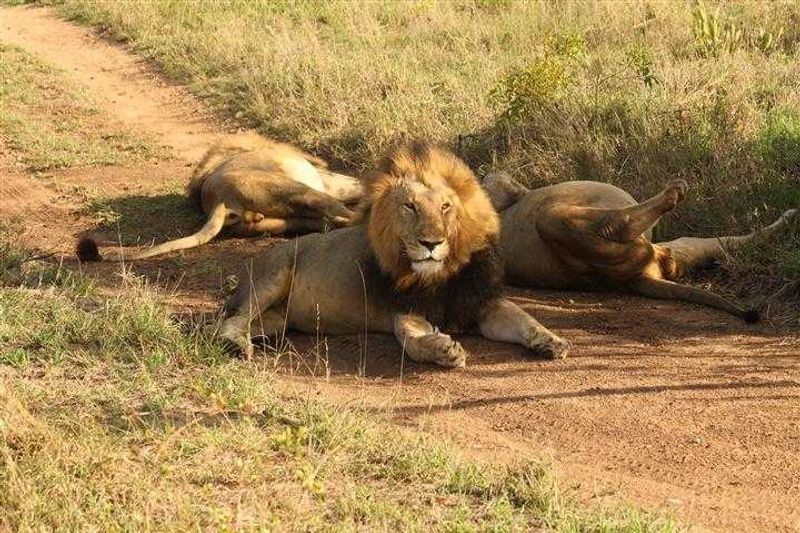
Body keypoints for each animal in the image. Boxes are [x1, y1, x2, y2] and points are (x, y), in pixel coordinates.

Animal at [77, 133, 363, 262]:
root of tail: (218, 200)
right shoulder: (325, 176)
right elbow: (354, 183)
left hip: (283, 219)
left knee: (328, 221)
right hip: (292, 187)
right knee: (342, 215)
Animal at [216, 143, 569, 367]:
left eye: (446, 207)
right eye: (410, 207)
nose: (431, 243)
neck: (440, 275)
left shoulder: (482, 303)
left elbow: (525, 321)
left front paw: (551, 340)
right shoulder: (405, 311)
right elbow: (413, 342)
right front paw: (443, 349)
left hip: (275, 320)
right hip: (273, 275)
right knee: (228, 323)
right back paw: (238, 346)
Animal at [481, 171, 798, 322]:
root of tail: (635, 278)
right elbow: (498, 183)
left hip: (678, 246)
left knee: (729, 241)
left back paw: (789, 218)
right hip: (554, 220)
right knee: (615, 221)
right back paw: (673, 192)